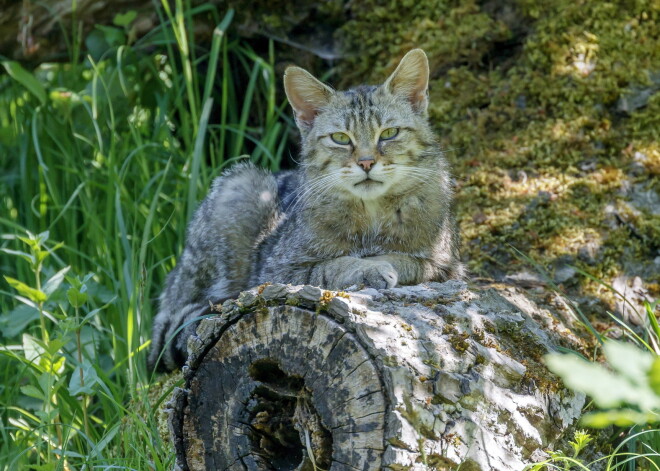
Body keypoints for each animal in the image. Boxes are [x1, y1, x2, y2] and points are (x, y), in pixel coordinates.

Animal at [149, 48, 464, 372]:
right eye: (341, 138)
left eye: (389, 133)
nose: (366, 162)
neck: (372, 215)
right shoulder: (275, 272)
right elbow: (328, 266)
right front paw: (366, 266)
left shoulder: (447, 265)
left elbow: (408, 260)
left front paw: (380, 262)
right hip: (240, 184)